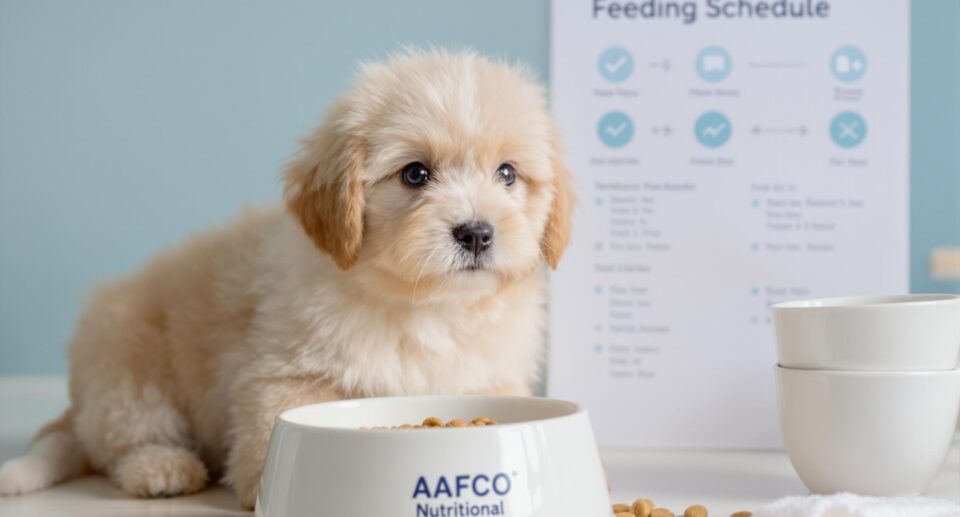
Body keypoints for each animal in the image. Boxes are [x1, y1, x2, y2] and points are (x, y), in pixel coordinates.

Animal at [0, 49, 568, 508]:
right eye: (415, 174)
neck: (426, 306)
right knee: (123, 442)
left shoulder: (491, 373)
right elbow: (271, 432)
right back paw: (161, 468)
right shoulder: (284, 375)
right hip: (130, 372)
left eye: (507, 173)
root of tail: (79, 404)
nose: (476, 233)